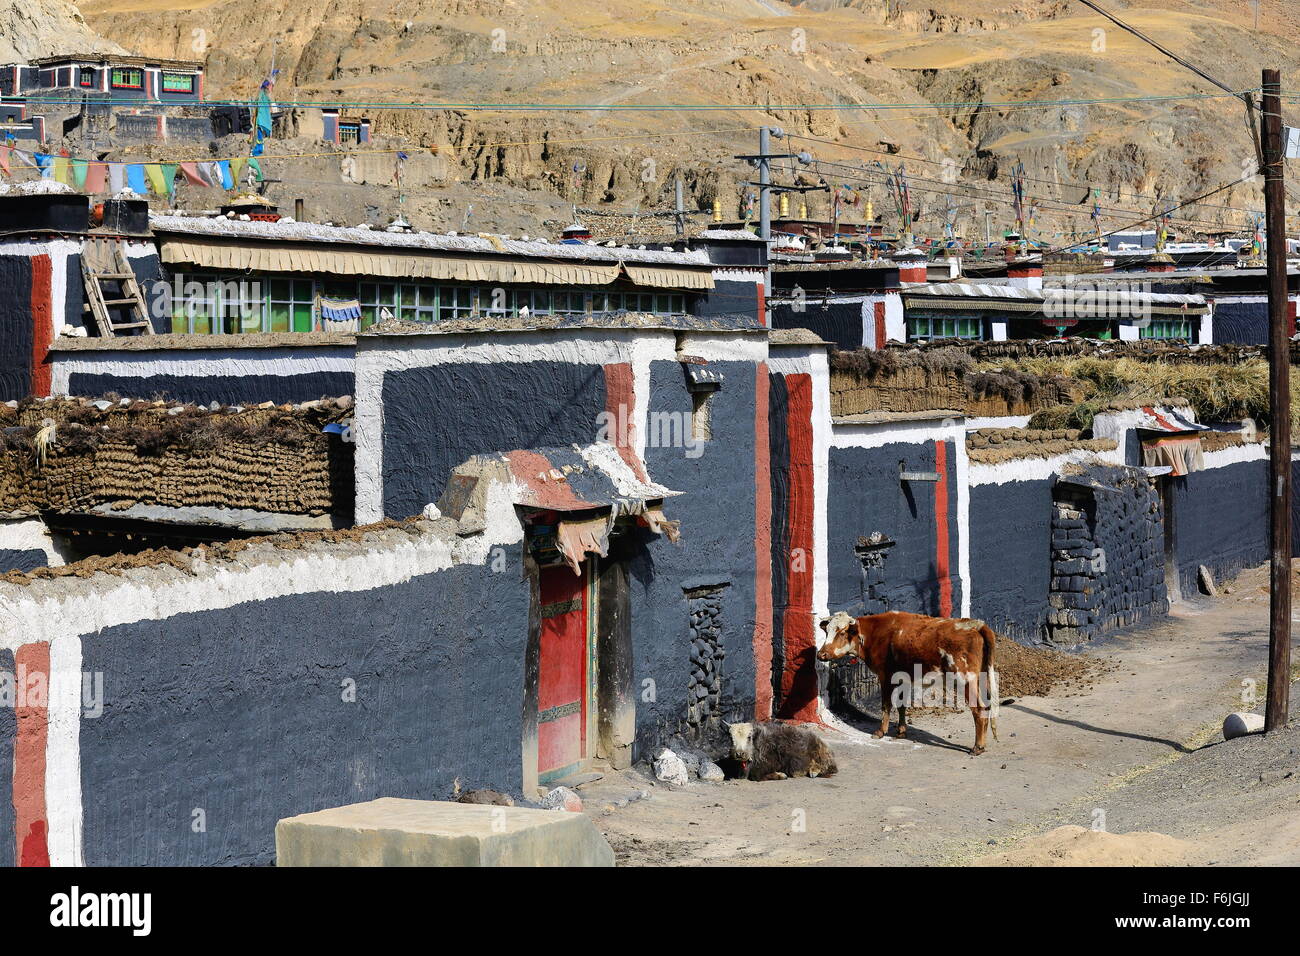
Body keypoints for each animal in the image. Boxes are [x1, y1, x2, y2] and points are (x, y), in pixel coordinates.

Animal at [811, 613, 1003, 754]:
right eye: (827, 632)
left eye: (842, 632)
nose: (821, 654)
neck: (874, 633)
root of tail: (976, 625)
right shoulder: (902, 678)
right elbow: (902, 705)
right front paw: (901, 731)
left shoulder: (885, 676)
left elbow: (886, 705)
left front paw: (880, 731)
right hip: (981, 677)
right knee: (986, 707)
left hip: (965, 678)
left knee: (978, 709)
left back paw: (977, 747)